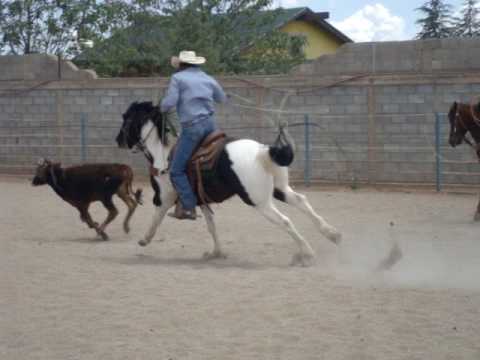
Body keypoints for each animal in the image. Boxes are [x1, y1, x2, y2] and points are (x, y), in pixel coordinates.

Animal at [115, 101, 342, 264]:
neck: (163, 154)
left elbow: (156, 218)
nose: (118, 140)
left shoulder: (164, 196)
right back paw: (332, 234)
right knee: (302, 201)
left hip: (258, 201)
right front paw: (217, 252)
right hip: (279, 188)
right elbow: (211, 226)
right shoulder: (200, 199)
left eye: (126, 119)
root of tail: (263, 151)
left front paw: (144, 239)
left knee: (285, 220)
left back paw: (307, 253)